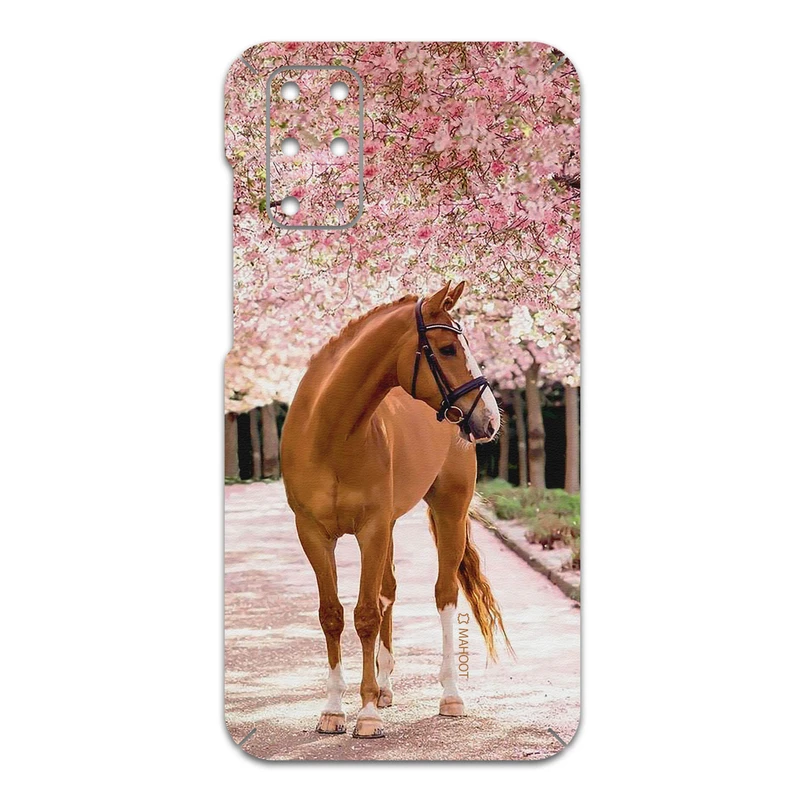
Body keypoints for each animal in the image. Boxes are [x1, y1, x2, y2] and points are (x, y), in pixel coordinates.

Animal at [280, 281, 510, 738]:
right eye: (447, 348)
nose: (490, 419)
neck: (330, 434)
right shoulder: (314, 533)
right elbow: (332, 615)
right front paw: (333, 710)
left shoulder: (371, 528)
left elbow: (366, 614)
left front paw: (366, 714)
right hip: (388, 526)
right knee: (388, 590)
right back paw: (385, 688)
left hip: (448, 511)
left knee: (443, 594)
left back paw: (449, 695)